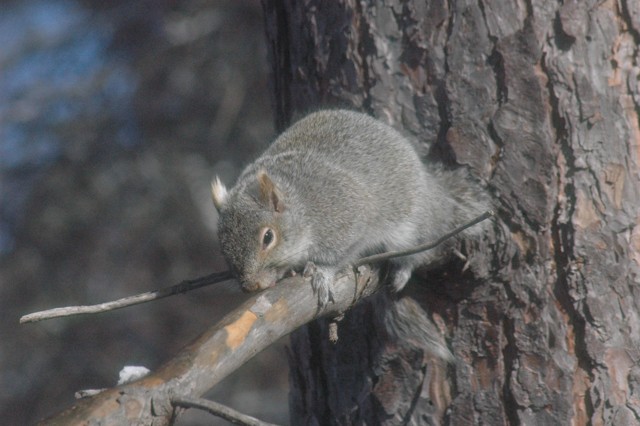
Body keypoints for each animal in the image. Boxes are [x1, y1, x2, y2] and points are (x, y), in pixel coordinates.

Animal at [211, 109, 489, 360]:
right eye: (222, 245)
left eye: (268, 237)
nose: (251, 286)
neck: (303, 207)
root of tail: (432, 189)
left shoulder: (347, 218)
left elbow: (340, 255)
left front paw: (321, 273)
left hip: (411, 228)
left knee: (418, 249)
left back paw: (402, 269)